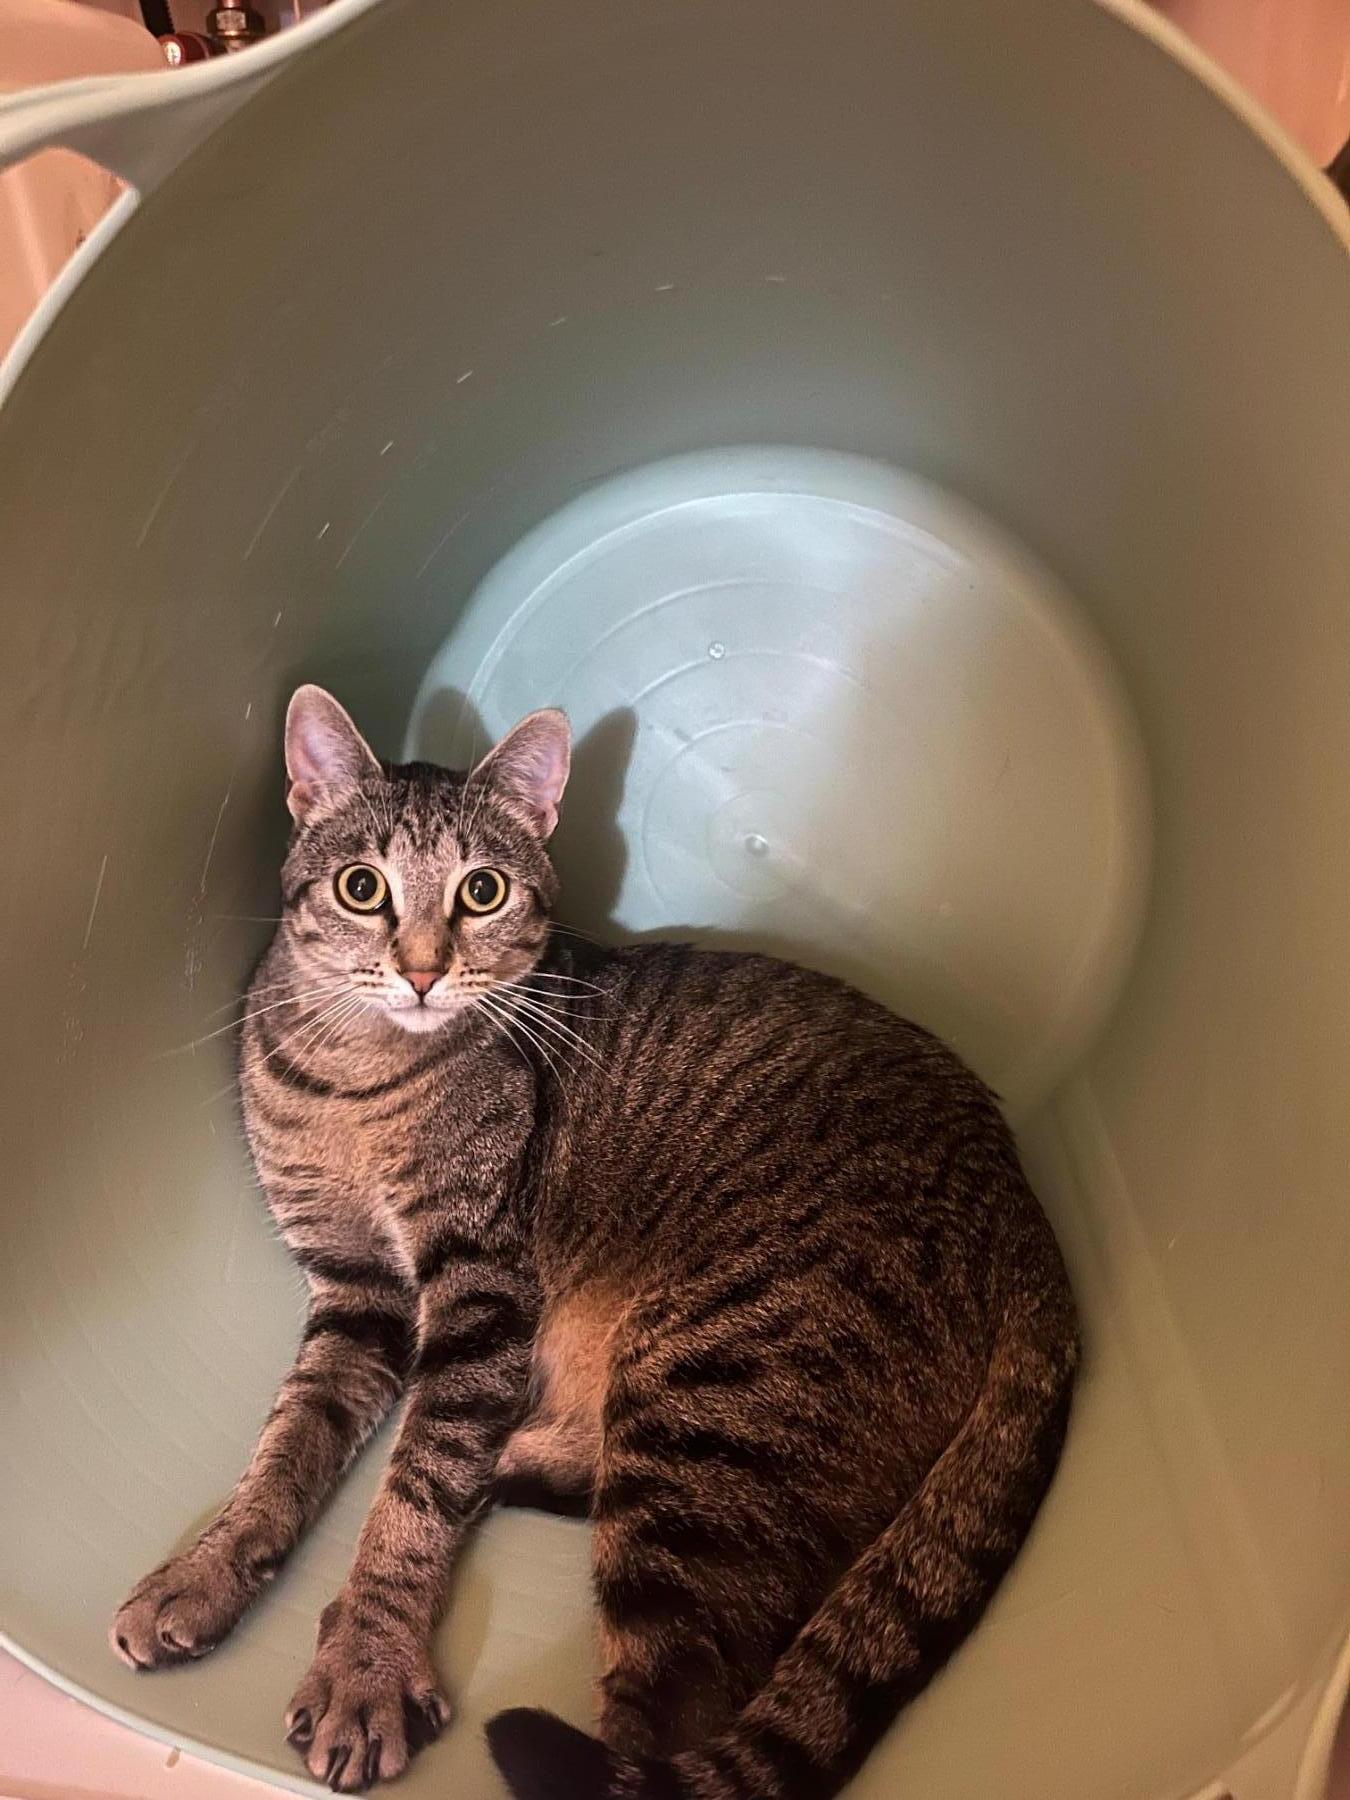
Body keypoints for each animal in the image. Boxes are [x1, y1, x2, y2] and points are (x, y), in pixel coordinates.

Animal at [111, 684, 1079, 1799]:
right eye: (362, 888)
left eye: (482, 892)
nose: (423, 971)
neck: (354, 1079)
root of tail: (1021, 1200)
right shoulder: (357, 1289)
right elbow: (287, 1448)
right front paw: (204, 1571)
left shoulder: (479, 1290)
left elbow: (411, 1498)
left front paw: (366, 1665)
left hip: (710, 1402)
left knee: (659, 1722)